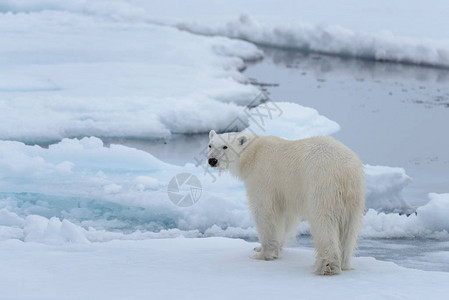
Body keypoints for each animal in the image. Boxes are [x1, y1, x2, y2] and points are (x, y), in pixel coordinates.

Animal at [208, 130, 366, 276]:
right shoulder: (286, 191)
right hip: (354, 196)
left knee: (324, 222)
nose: (212, 160)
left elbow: (265, 212)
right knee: (349, 228)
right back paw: (345, 262)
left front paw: (262, 254)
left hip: (321, 186)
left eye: (225, 146)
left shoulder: (263, 179)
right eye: (210, 145)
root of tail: (345, 171)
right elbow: (286, 218)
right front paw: (261, 247)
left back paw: (327, 266)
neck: (253, 153)